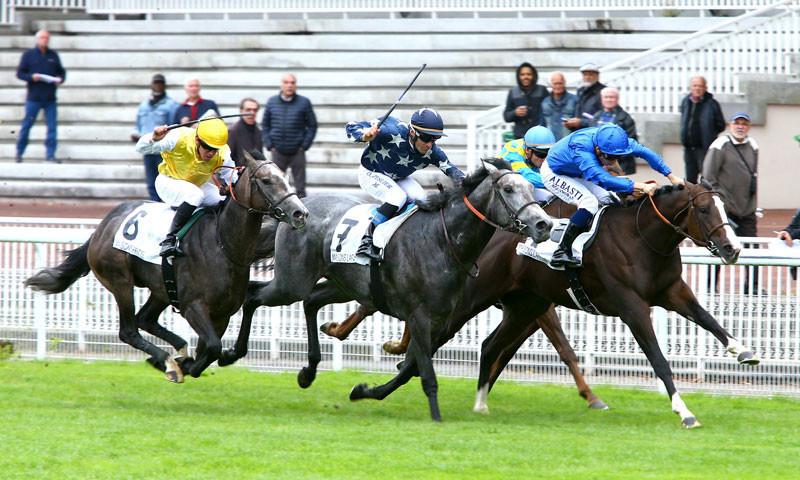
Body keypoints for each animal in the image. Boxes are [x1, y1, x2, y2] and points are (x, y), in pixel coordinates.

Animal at [25, 152, 308, 382]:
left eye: (285, 178)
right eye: (267, 181)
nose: (300, 213)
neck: (223, 245)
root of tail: (101, 228)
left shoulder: (222, 313)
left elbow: (210, 347)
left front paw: (194, 360)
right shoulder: (194, 306)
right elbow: (212, 347)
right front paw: (187, 366)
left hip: (162, 287)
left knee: (145, 319)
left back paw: (176, 353)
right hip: (120, 281)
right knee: (129, 330)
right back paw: (167, 362)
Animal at [233, 160, 553, 421]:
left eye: (531, 187)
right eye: (509, 189)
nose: (544, 223)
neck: (441, 240)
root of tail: (296, 210)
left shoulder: (440, 320)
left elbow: (409, 369)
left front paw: (362, 391)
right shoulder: (420, 317)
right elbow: (424, 372)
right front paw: (436, 417)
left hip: (345, 286)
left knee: (310, 301)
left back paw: (308, 371)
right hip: (292, 282)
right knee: (253, 296)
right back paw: (232, 352)